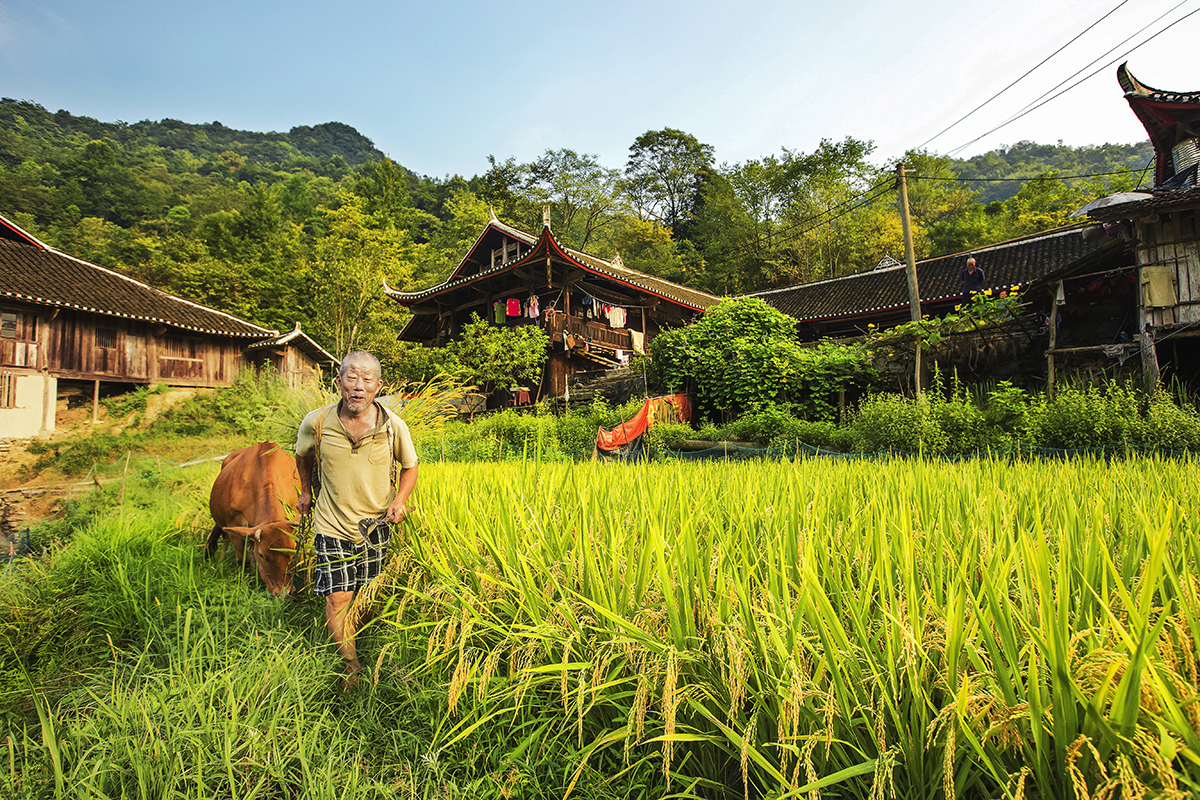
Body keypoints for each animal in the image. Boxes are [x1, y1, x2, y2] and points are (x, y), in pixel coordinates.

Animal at [207, 441, 300, 597]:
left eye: (292, 549)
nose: (284, 593)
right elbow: (243, 560)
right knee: (225, 538)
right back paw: (221, 560)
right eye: (261, 555)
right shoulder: (233, 525)